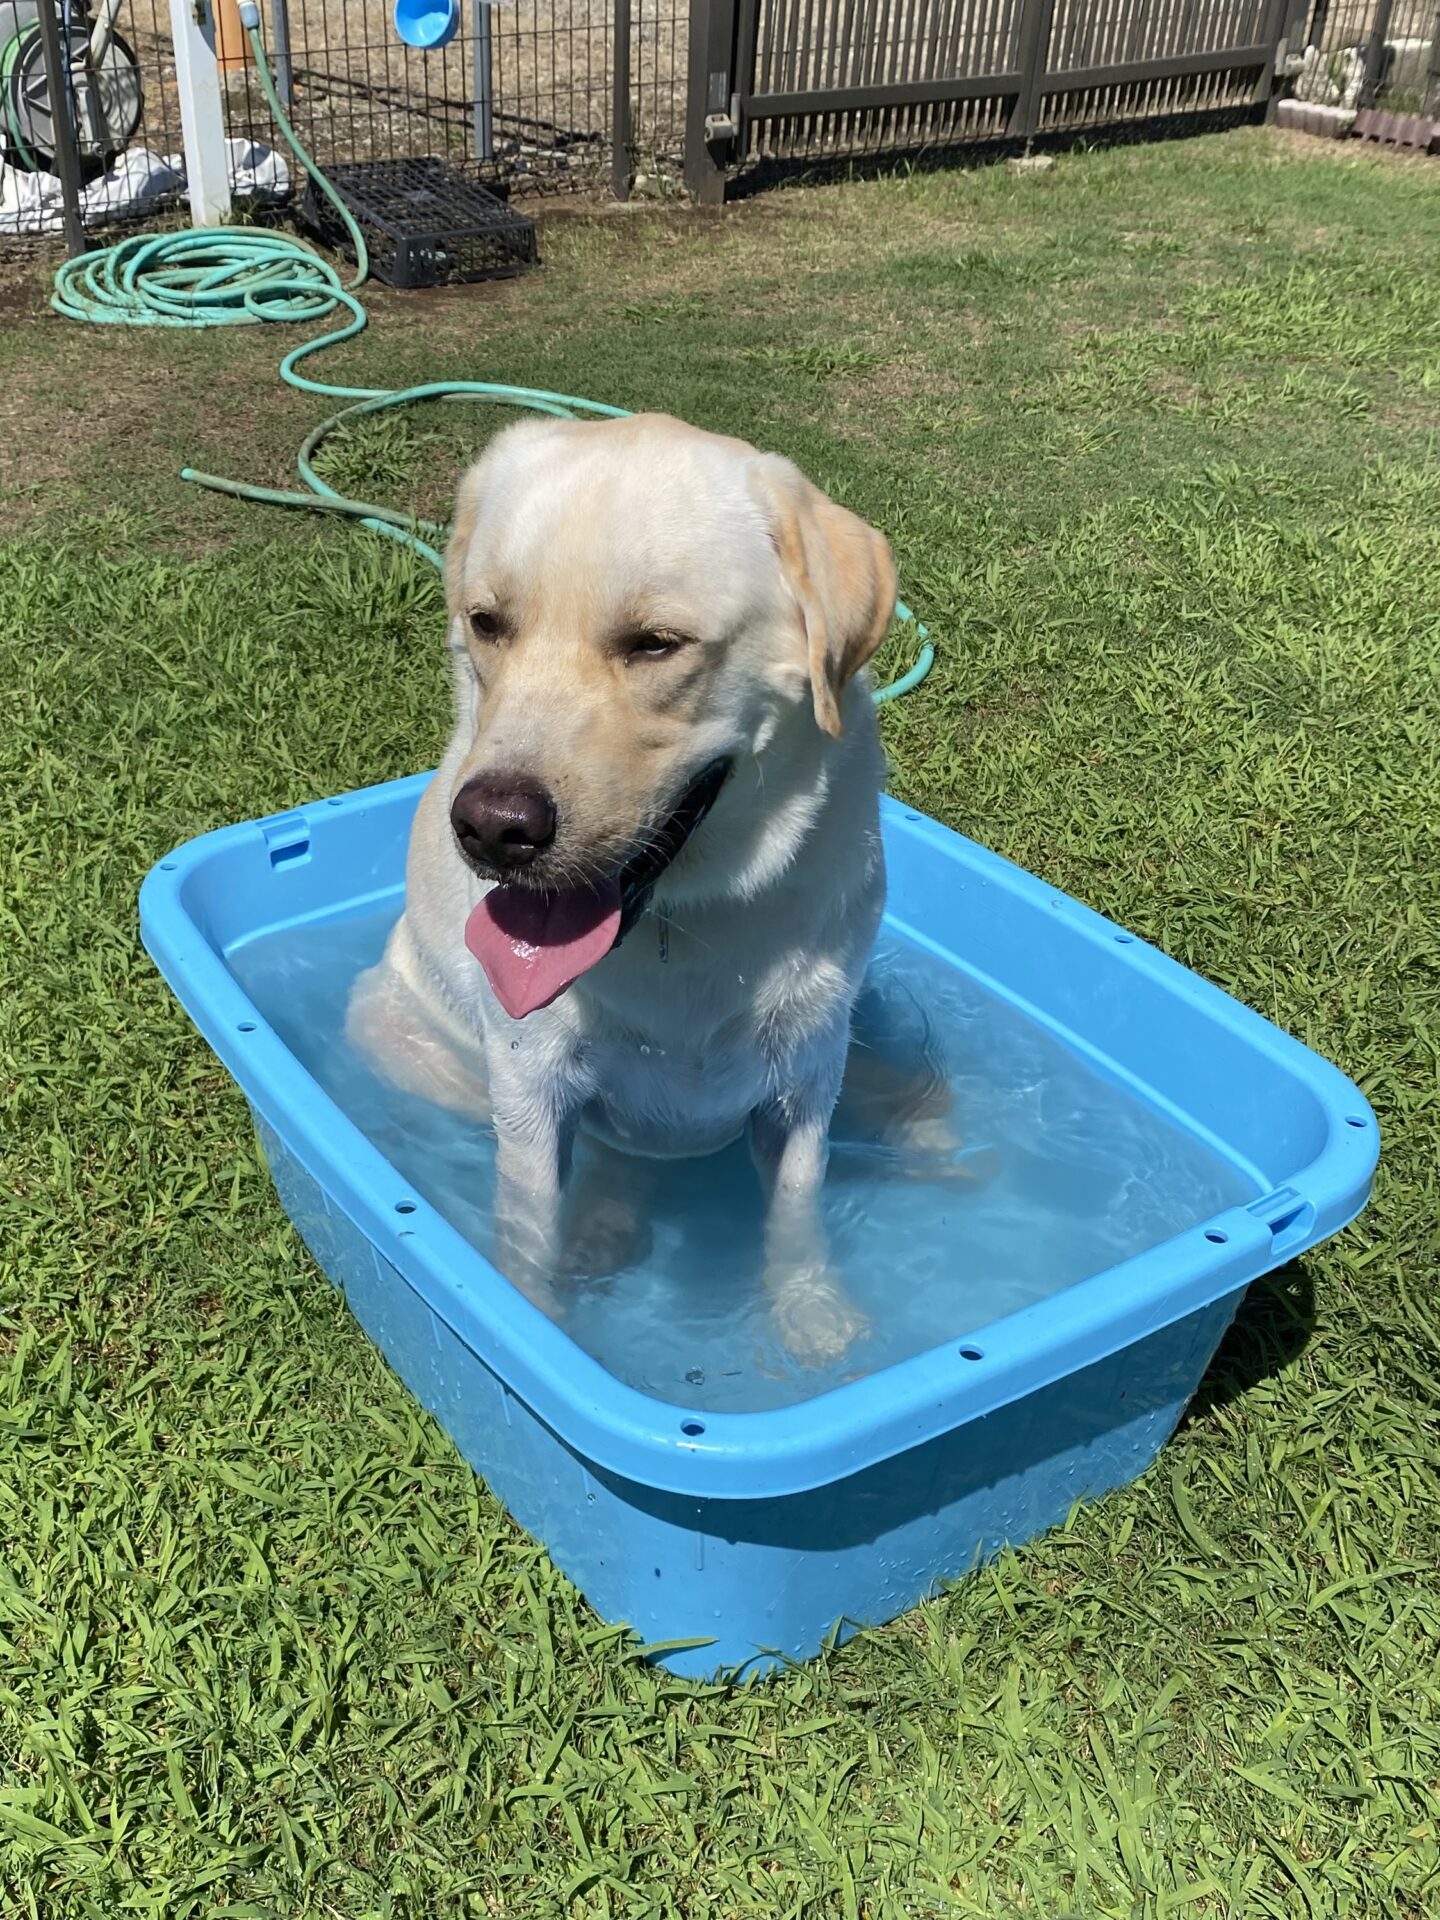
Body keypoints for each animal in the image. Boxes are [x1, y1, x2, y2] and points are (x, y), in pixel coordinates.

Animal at [347, 412, 898, 1365]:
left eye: (654, 643)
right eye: (487, 623)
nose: (492, 828)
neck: (682, 917)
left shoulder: (807, 1072)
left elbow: (797, 1212)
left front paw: (811, 1314)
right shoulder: (530, 1087)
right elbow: (528, 1229)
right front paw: (537, 1325)